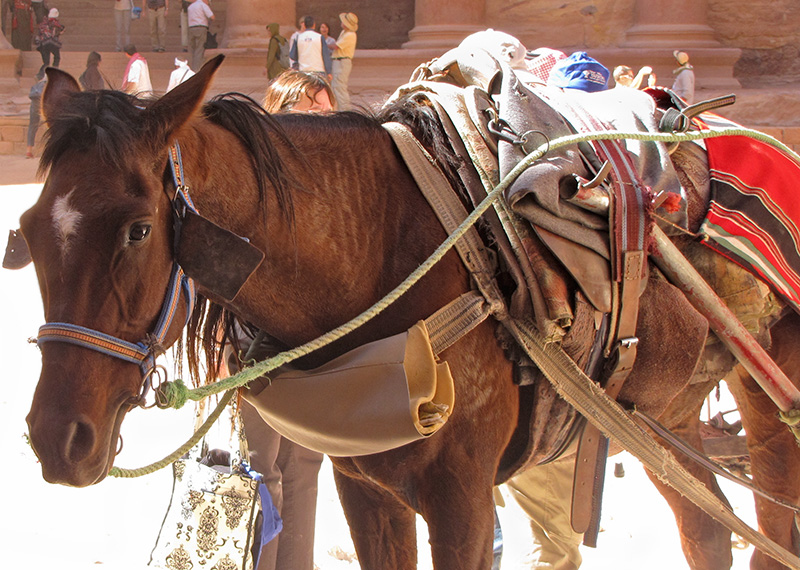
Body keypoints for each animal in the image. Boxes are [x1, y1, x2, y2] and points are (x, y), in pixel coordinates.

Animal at [17, 54, 800, 568]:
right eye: (25, 232)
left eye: (138, 230)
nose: (57, 437)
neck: (378, 248)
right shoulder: (365, 490)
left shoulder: (465, 505)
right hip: (665, 415)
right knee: (708, 532)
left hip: (767, 391)